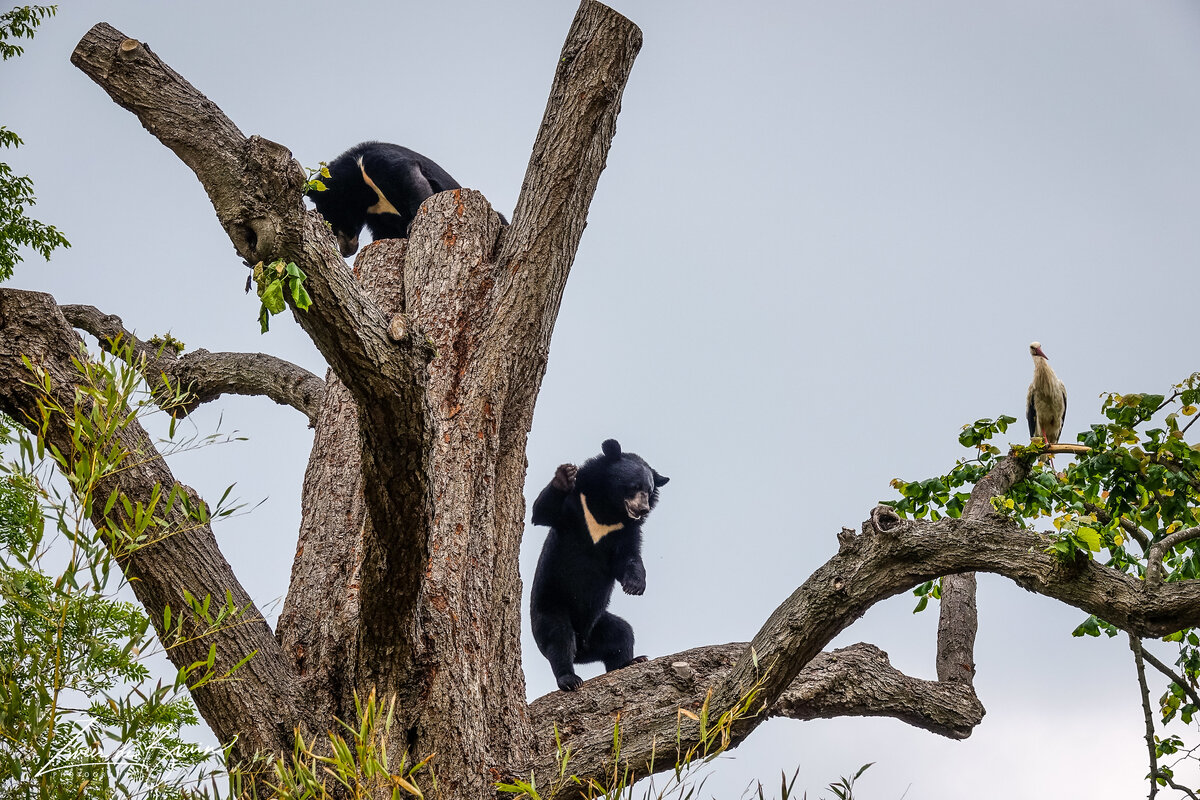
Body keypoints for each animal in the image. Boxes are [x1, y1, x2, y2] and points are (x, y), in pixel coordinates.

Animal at [304, 140, 463, 256]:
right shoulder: (378, 217)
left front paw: (413, 223)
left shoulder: (377, 163)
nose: (346, 252)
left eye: (336, 224)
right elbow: (384, 232)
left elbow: (410, 179)